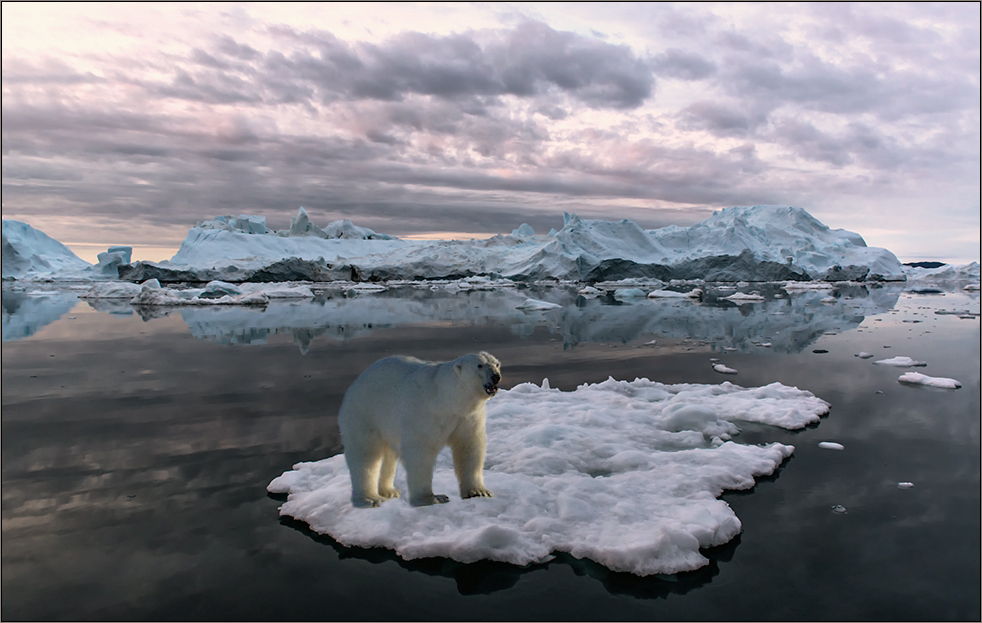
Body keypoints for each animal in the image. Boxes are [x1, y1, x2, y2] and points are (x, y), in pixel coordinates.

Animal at [340, 352, 508, 508]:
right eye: (479, 365)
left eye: (497, 364)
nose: (496, 376)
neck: (446, 398)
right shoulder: (424, 411)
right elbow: (420, 452)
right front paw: (431, 498)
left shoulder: (467, 418)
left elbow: (469, 447)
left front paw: (479, 491)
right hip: (364, 413)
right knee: (366, 455)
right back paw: (369, 499)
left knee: (389, 456)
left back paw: (389, 491)